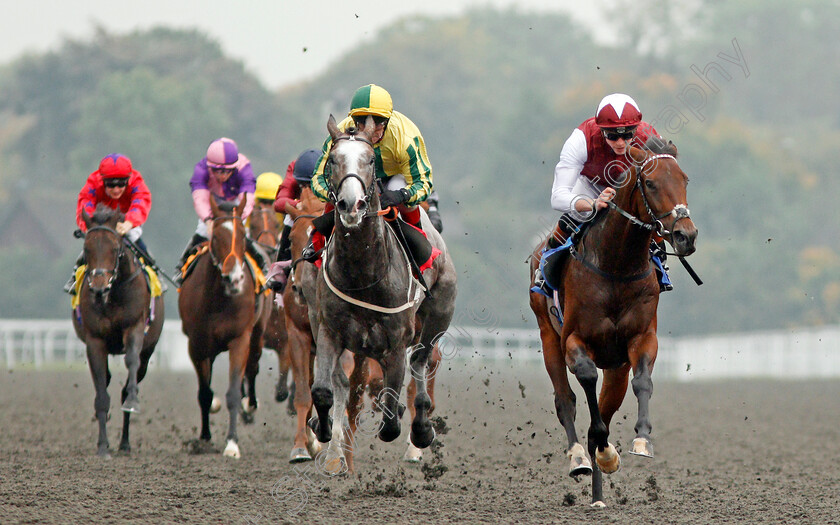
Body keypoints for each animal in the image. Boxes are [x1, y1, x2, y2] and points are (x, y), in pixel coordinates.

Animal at [73, 203, 165, 456]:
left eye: (115, 248)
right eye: (86, 248)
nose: (98, 289)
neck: (113, 294)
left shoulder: (134, 328)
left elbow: (131, 362)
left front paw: (132, 401)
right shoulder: (95, 341)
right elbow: (101, 393)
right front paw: (103, 445)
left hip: (148, 352)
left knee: (129, 382)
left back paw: (125, 442)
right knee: (104, 382)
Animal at [179, 196, 270, 458]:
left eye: (242, 236)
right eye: (217, 237)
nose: (234, 278)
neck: (219, 299)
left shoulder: (240, 339)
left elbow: (233, 392)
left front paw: (232, 443)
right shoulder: (196, 345)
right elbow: (205, 393)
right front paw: (204, 437)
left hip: (257, 335)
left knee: (252, 368)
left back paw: (250, 405)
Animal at [308, 115, 456, 474]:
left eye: (371, 161)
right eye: (332, 160)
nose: (351, 205)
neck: (363, 274)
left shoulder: (396, 341)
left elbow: (390, 416)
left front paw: (407, 422)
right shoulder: (329, 331)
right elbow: (323, 390)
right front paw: (322, 429)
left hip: (436, 320)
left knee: (419, 364)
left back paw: (421, 428)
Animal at [528, 137, 700, 506]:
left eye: (685, 179)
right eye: (650, 182)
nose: (686, 236)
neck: (616, 268)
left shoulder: (641, 338)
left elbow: (643, 382)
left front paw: (641, 441)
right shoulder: (574, 340)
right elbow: (586, 384)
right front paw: (599, 452)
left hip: (616, 366)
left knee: (606, 406)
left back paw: (598, 489)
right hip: (547, 336)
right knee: (566, 401)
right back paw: (579, 458)